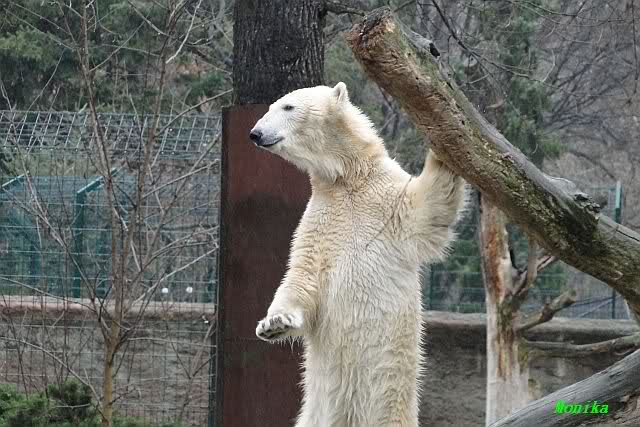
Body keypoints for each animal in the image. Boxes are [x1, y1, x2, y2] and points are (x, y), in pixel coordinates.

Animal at [250, 82, 466, 427]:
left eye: (287, 106)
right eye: (272, 106)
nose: (255, 133)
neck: (348, 178)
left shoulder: (388, 201)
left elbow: (430, 206)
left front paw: (443, 138)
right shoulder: (320, 220)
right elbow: (302, 275)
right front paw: (274, 324)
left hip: (390, 390)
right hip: (315, 407)